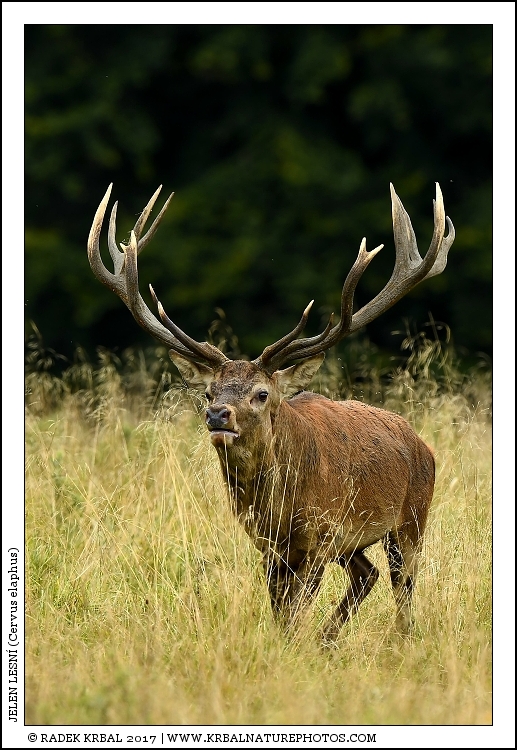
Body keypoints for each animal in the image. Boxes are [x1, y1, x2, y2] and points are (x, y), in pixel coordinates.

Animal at [88, 182, 454, 643]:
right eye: (208, 392)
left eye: (261, 394)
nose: (218, 416)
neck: (280, 504)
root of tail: (422, 444)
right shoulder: (269, 543)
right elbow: (282, 612)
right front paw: (291, 645)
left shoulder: (318, 534)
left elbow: (295, 611)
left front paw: (295, 648)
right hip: (353, 541)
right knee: (365, 575)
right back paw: (328, 640)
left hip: (411, 517)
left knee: (402, 587)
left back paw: (395, 640)